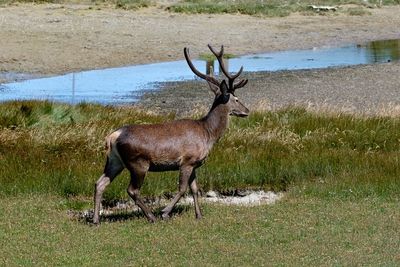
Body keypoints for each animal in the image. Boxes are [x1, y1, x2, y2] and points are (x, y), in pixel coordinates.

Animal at [94, 45, 250, 225]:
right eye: (236, 99)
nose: (247, 111)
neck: (207, 133)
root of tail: (112, 136)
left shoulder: (194, 163)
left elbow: (195, 189)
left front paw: (199, 215)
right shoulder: (187, 161)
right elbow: (182, 189)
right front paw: (165, 212)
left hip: (115, 160)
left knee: (100, 183)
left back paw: (96, 220)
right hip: (138, 163)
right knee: (132, 190)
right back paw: (151, 216)